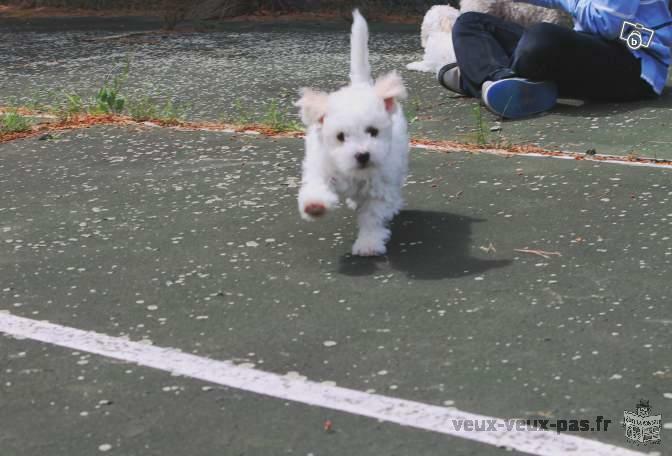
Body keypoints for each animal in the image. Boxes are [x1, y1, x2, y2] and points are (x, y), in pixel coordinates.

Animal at [296, 8, 410, 256]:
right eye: (340, 137)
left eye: (373, 131)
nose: (363, 155)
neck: (355, 173)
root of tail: (360, 85)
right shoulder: (321, 165)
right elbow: (317, 184)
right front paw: (314, 205)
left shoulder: (379, 190)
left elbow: (372, 218)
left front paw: (368, 243)